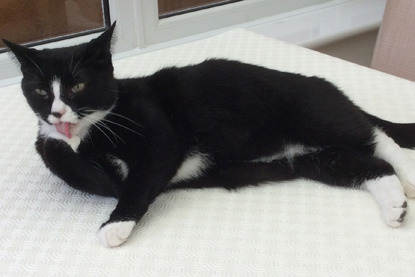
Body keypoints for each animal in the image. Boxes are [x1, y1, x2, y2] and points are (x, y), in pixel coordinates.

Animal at [3, 23, 415, 247]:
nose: (57, 113)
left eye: (78, 86)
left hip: (314, 116)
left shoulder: (158, 132)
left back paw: (408, 174)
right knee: (367, 164)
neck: (95, 129)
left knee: (376, 136)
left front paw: (115, 225)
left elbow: (140, 179)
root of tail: (324, 84)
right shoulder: (63, 150)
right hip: (313, 158)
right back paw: (395, 205)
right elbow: (71, 160)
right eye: (40, 91)